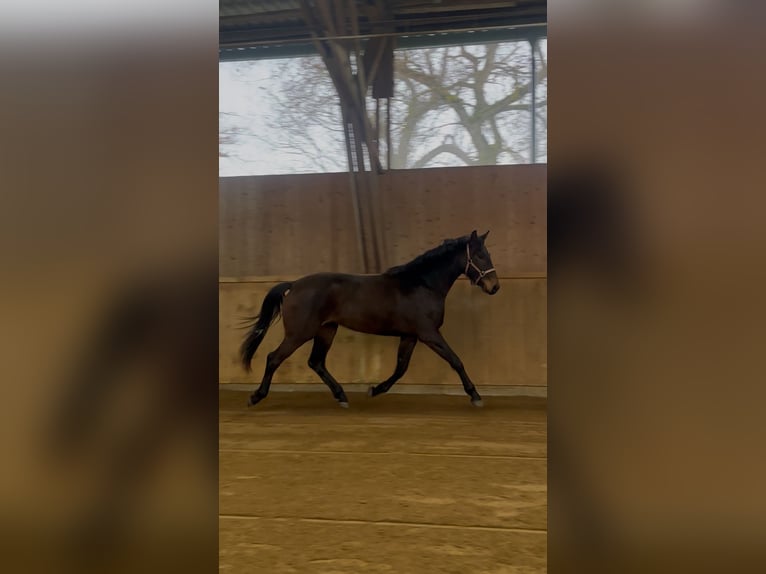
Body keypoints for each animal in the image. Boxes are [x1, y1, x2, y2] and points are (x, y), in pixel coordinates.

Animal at [240, 230, 500, 408]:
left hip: (326, 330)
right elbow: (455, 361)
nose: (494, 286)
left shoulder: (410, 336)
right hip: (299, 333)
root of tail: (293, 285)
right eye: (479, 255)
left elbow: (400, 368)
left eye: (487, 254)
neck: (422, 284)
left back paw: (341, 396)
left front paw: (375, 389)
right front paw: (475, 395)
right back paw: (256, 396)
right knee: (274, 358)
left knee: (316, 362)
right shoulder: (428, 333)